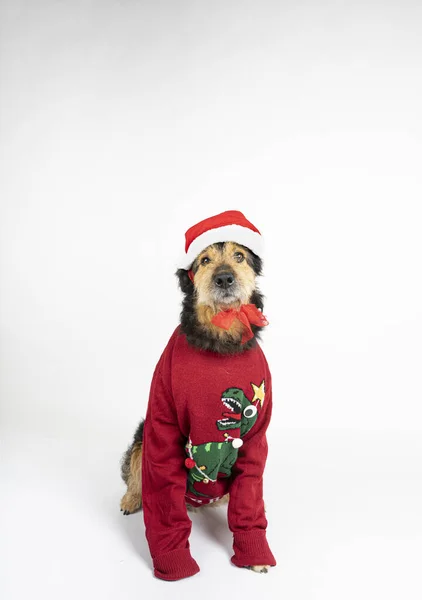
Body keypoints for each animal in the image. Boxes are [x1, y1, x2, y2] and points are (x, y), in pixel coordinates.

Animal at [120, 212, 276, 580]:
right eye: (204, 260)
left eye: (239, 256)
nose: (224, 278)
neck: (221, 336)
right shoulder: (161, 422)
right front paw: (175, 562)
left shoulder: (255, 440)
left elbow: (249, 499)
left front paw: (254, 553)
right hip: (143, 434)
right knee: (137, 473)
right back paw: (132, 499)